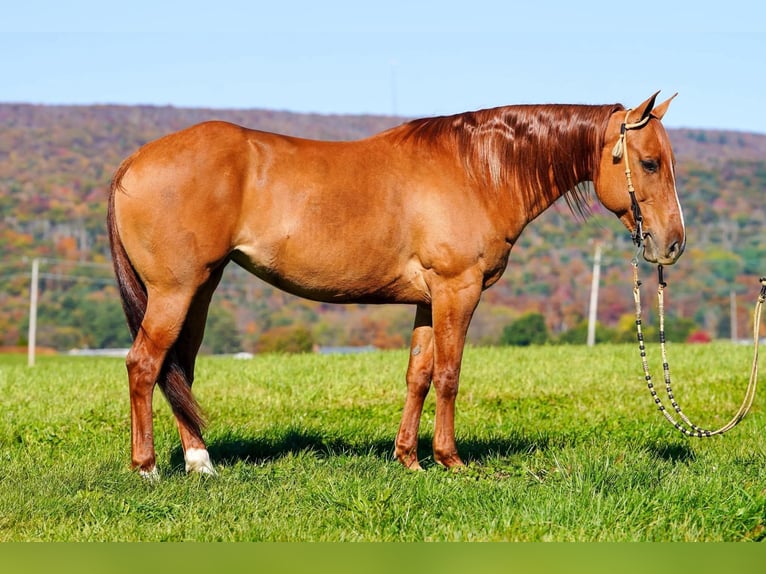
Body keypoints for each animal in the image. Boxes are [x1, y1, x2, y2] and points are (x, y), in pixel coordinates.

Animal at [107, 91, 685, 478]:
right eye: (649, 163)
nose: (673, 244)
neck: (478, 169)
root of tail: (134, 160)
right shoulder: (457, 290)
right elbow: (449, 374)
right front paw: (450, 459)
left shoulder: (428, 302)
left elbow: (419, 376)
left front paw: (408, 458)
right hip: (175, 292)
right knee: (144, 365)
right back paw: (148, 467)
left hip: (200, 290)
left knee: (178, 369)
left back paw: (200, 464)